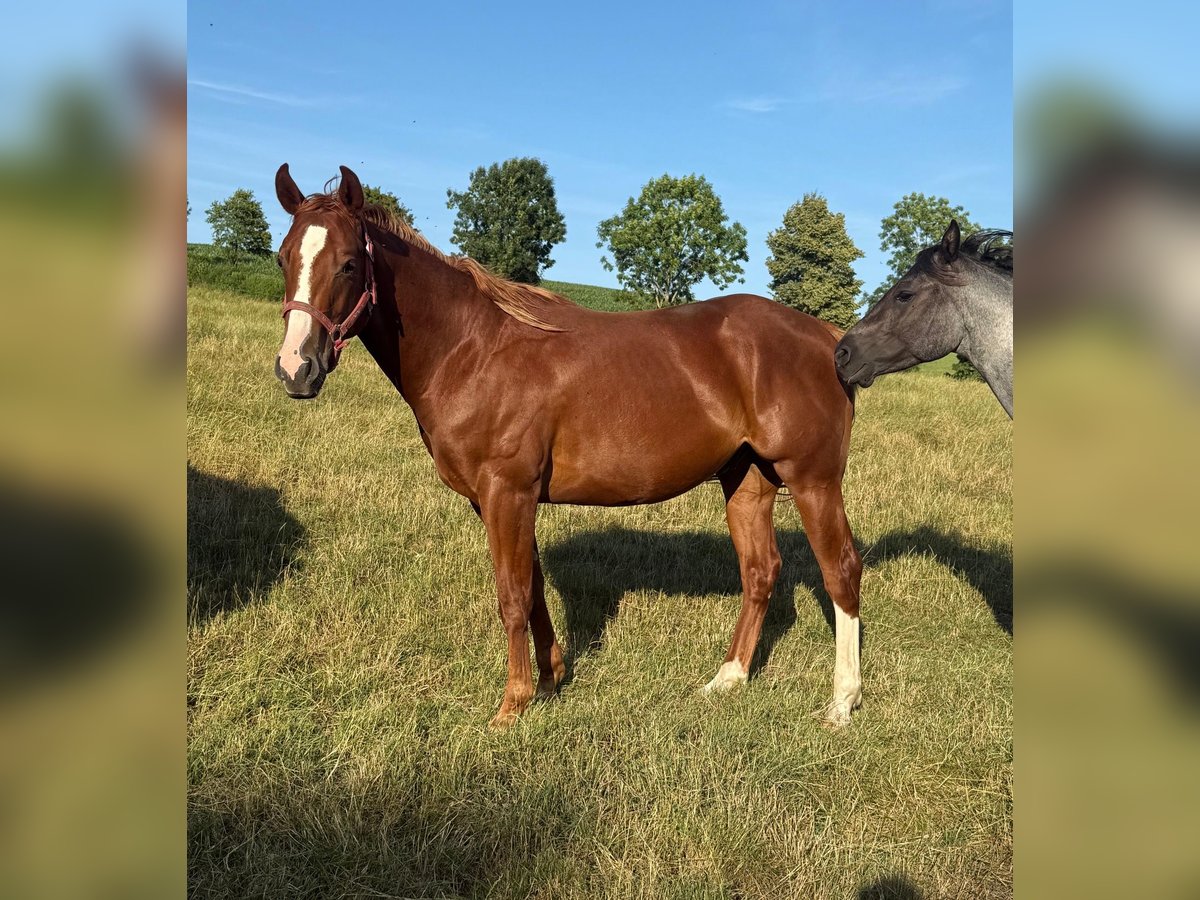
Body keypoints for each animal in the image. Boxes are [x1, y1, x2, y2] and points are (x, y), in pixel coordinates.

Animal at [272, 163, 864, 727]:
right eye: (283, 258)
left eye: (349, 263)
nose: (296, 368)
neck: (472, 350)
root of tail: (827, 337)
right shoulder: (503, 501)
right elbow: (533, 589)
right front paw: (551, 678)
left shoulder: (507, 492)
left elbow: (512, 596)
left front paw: (511, 705)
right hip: (747, 478)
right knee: (760, 570)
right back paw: (728, 679)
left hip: (812, 481)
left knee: (841, 571)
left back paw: (842, 703)